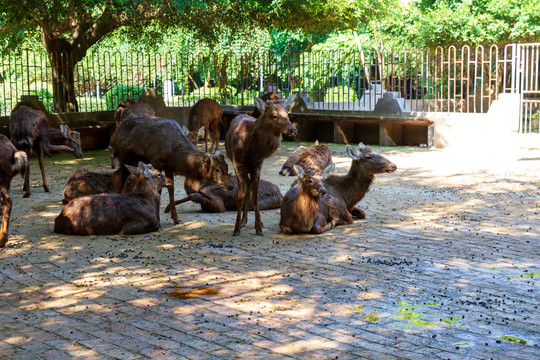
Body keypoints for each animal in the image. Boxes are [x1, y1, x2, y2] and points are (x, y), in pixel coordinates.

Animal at [226, 94, 298, 235]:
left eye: (287, 113)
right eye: (274, 116)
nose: (293, 130)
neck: (250, 150)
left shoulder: (258, 165)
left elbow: (255, 196)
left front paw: (258, 227)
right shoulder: (238, 164)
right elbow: (240, 195)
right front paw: (236, 229)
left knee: (249, 188)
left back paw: (251, 221)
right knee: (246, 187)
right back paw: (242, 222)